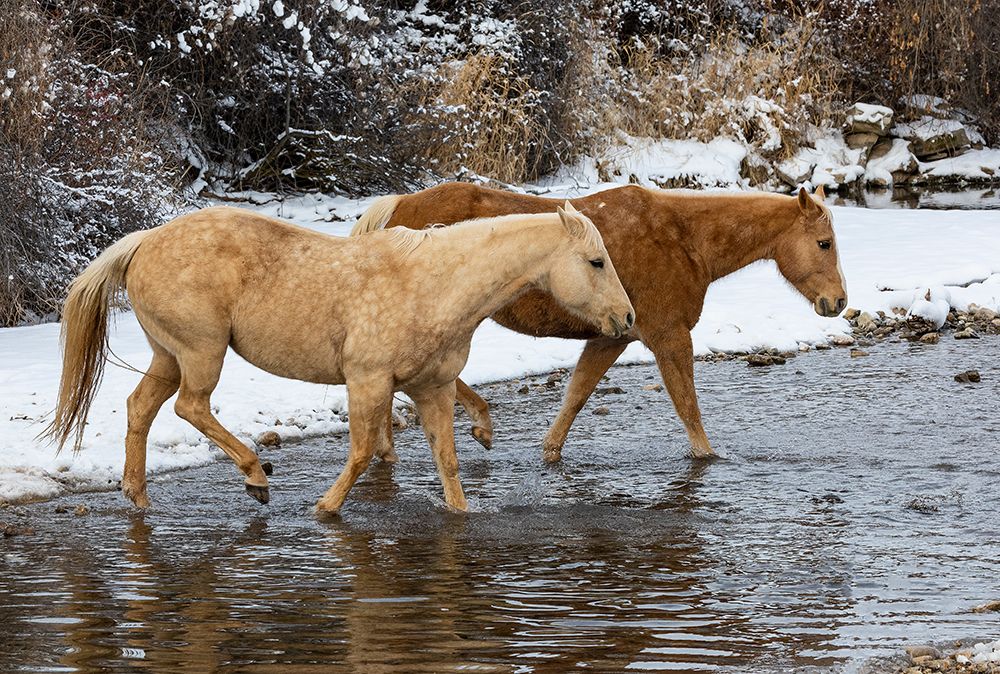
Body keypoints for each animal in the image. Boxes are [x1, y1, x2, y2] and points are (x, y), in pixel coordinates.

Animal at [45, 203, 632, 510]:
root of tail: (144, 241)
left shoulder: (433, 388)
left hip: (169, 354)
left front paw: (461, 513)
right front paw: (325, 509)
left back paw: (139, 495)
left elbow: (447, 460)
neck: (434, 285)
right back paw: (255, 477)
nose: (626, 318)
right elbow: (363, 451)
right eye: (596, 261)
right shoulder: (368, 380)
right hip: (200, 352)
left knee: (141, 407)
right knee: (189, 407)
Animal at [350, 181, 844, 460]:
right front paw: (708, 458)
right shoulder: (669, 337)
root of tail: (398, 209)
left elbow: (575, 398)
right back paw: (478, 424)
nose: (837, 301)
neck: (685, 241)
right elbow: (689, 410)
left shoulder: (613, 337)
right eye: (823, 243)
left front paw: (549, 454)